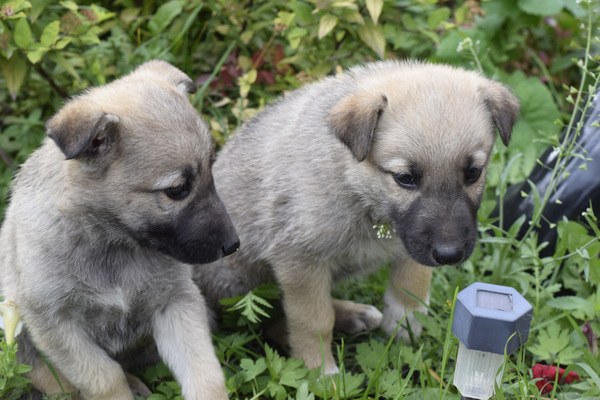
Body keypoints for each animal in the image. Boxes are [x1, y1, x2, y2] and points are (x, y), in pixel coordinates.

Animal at [0, 60, 239, 400]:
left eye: (211, 170)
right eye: (178, 190)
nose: (233, 244)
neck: (110, 241)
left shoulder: (176, 301)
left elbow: (205, 373)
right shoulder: (54, 323)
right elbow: (104, 378)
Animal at [195, 60, 516, 376]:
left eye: (473, 173)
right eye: (405, 178)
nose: (449, 255)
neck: (359, 189)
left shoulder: (413, 242)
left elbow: (411, 286)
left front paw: (405, 327)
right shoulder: (300, 261)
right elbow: (313, 321)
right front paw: (319, 373)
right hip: (235, 280)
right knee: (272, 320)